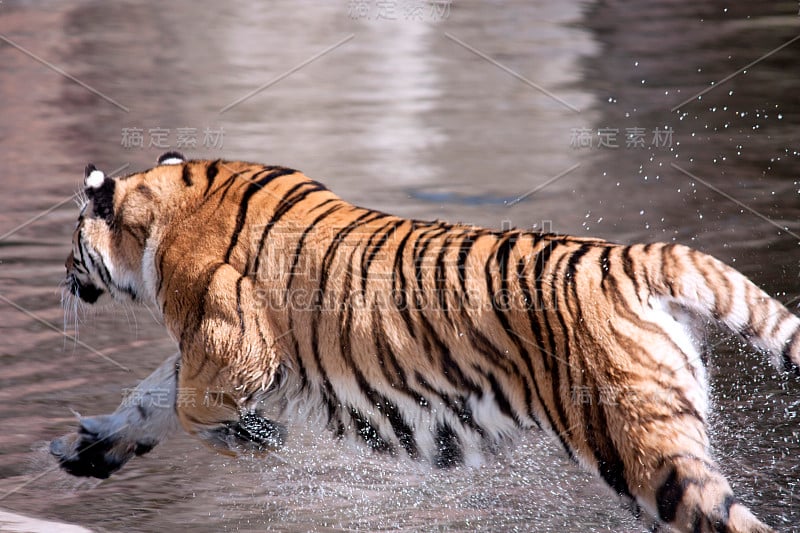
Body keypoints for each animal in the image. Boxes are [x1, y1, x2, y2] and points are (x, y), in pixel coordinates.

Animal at [51, 152, 800, 528]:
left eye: (72, 239)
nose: (61, 276)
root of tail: (640, 255)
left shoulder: (236, 344)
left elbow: (187, 406)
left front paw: (256, 438)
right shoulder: (209, 349)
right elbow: (151, 395)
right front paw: (88, 449)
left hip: (647, 450)